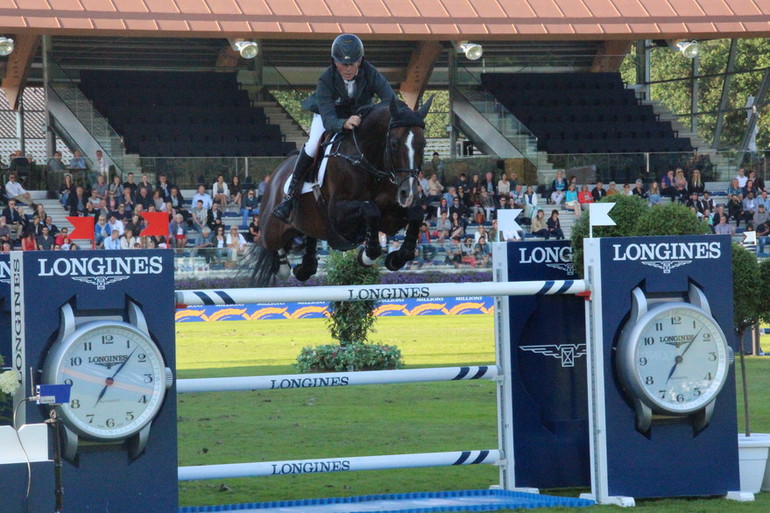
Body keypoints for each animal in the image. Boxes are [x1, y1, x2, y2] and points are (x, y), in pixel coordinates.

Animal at [250, 96, 432, 286]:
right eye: (395, 144)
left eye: (423, 144)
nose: (408, 194)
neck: (368, 162)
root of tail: (277, 173)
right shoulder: (337, 214)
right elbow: (370, 208)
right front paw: (367, 255)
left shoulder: (391, 216)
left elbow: (416, 213)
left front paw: (397, 257)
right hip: (271, 228)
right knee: (269, 244)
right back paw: (283, 263)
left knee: (309, 239)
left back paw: (305, 267)